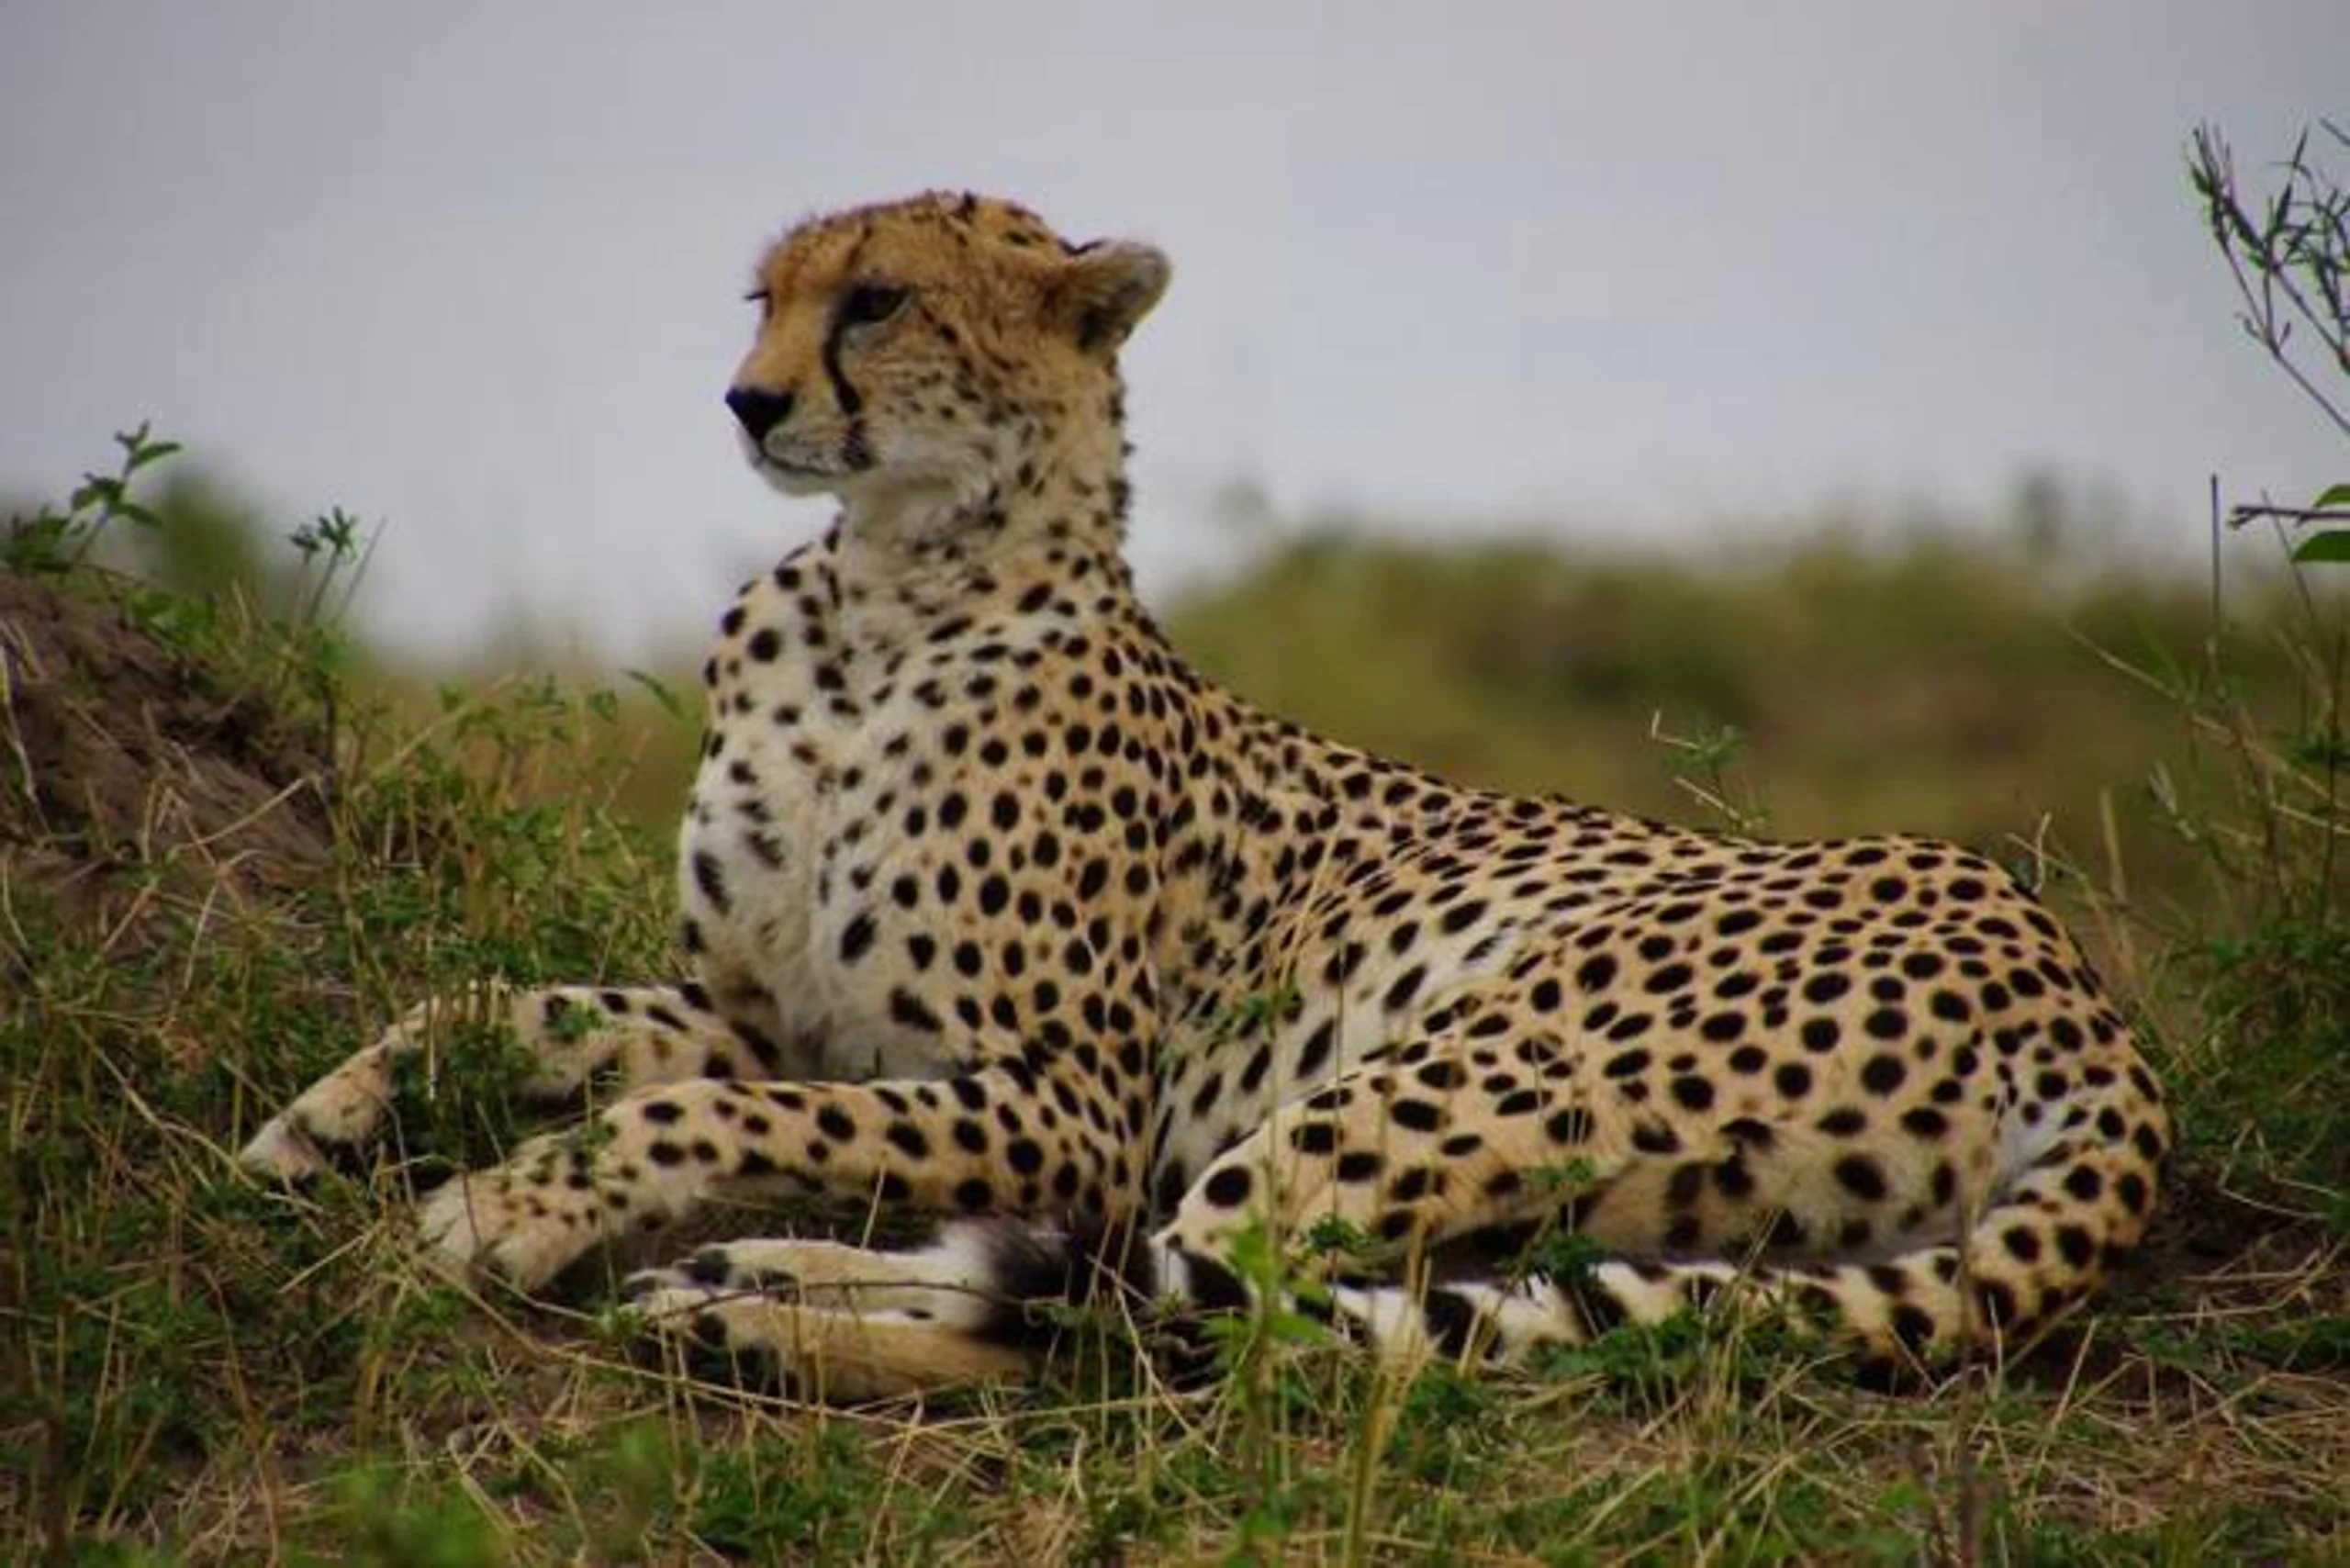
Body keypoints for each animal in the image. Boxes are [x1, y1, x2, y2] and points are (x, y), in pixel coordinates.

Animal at [239, 190, 2170, 1400]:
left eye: (876, 299)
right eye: (763, 298)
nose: (747, 397)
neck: (883, 593)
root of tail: (2085, 994)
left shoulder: (1065, 1102)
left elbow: (690, 1116)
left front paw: (493, 1212)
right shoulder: (763, 1012)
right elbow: (502, 1005)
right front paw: (310, 1128)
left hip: (1472, 1057)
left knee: (1171, 1309)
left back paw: (765, 1311)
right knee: (1192, 1292)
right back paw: (743, 1290)